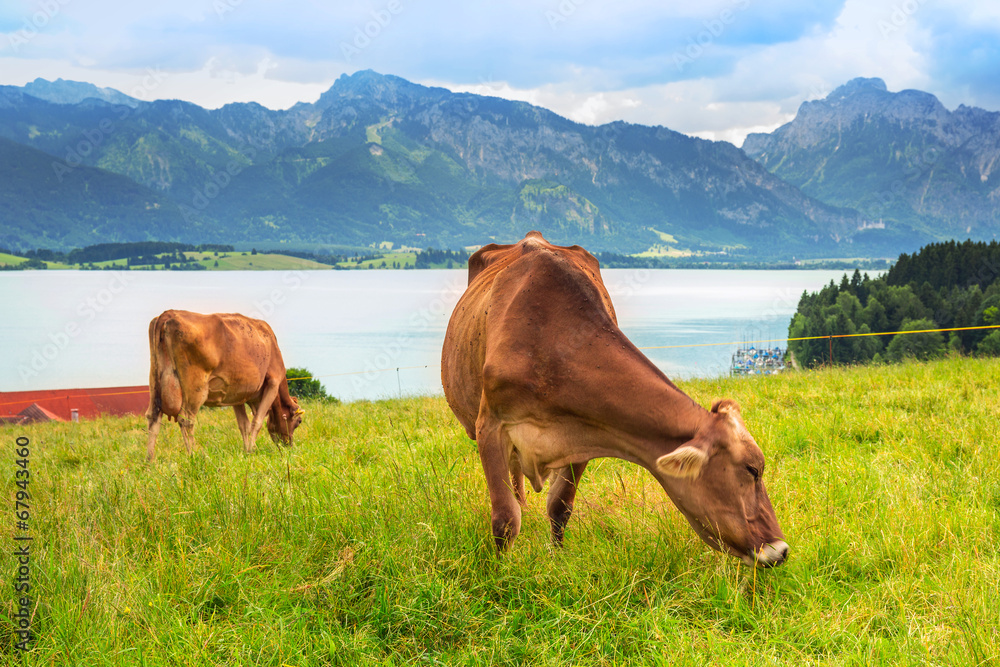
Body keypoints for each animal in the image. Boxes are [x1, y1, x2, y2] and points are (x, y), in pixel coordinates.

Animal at [143, 310, 302, 462]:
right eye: (298, 422)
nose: (289, 446)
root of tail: (167, 314)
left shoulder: (237, 394)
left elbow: (244, 425)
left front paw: (246, 451)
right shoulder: (273, 382)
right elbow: (256, 422)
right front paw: (252, 449)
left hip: (155, 381)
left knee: (153, 417)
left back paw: (150, 461)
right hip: (195, 388)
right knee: (186, 419)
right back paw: (194, 456)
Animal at [444, 231, 788, 568]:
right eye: (752, 470)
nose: (781, 550)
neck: (555, 343)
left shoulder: (580, 436)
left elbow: (560, 507)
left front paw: (557, 561)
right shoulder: (489, 426)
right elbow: (504, 519)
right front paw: (502, 573)